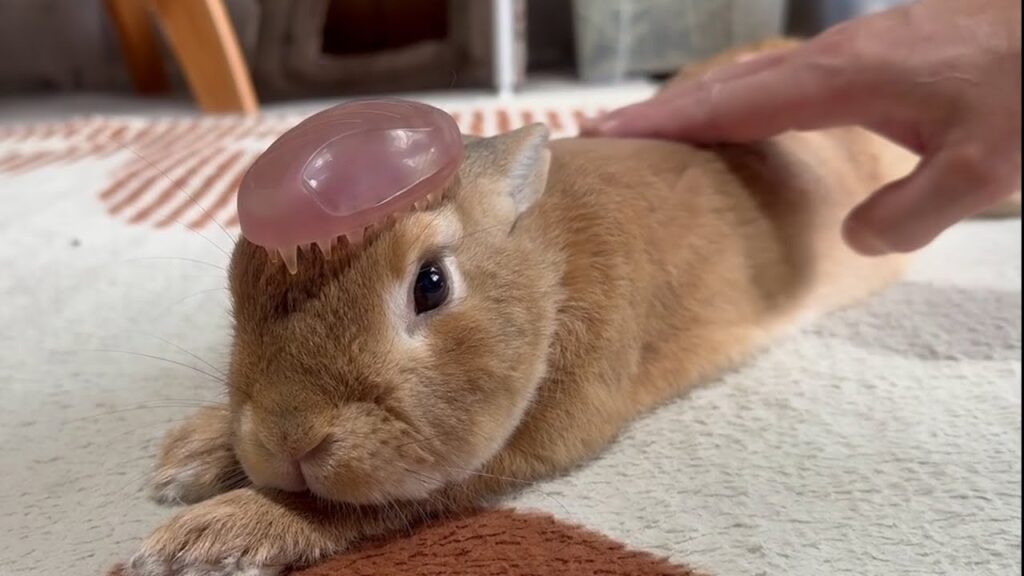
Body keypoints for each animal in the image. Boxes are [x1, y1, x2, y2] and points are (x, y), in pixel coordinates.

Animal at [121, 44, 923, 576]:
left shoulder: (525, 445)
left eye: (431, 285)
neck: (547, 273)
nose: (289, 439)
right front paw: (193, 453)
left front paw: (209, 538)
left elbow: (382, 503)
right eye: (238, 282)